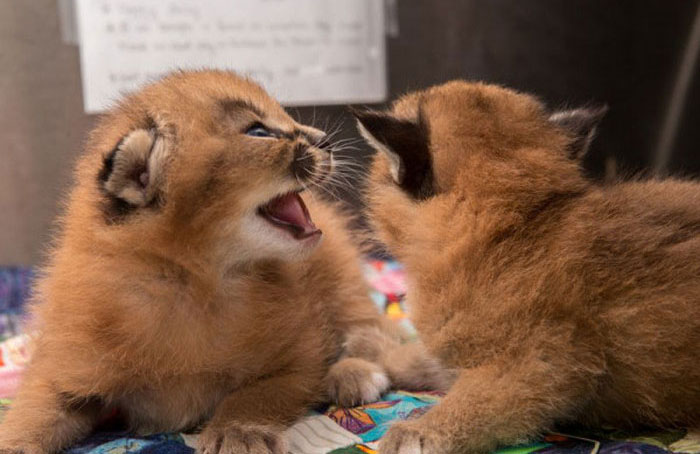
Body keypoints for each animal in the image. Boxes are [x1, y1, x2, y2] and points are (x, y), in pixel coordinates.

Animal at [0, 70, 442, 454]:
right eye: (259, 132)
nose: (326, 141)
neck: (190, 281)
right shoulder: (61, 369)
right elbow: (32, 410)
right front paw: (13, 440)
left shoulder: (298, 357)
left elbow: (256, 393)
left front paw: (238, 431)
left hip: (338, 269)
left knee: (369, 326)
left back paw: (353, 372)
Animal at [356, 80, 700, 454]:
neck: (512, 224)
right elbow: (427, 357)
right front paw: (379, 350)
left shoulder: (543, 368)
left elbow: (471, 402)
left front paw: (414, 432)